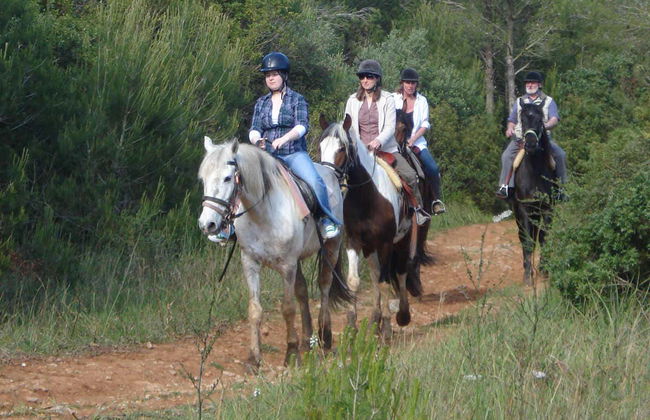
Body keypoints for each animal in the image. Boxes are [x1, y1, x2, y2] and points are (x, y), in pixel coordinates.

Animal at [197, 138, 353, 368]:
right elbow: (255, 309)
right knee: (302, 291)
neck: (262, 214)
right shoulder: (250, 262)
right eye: (203, 178)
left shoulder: (287, 266)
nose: (207, 224)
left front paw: (291, 354)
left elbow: (288, 309)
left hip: (331, 248)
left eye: (227, 178)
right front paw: (254, 358)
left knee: (324, 286)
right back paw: (307, 341)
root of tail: (329, 172)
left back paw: (325, 338)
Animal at [319, 115, 423, 340]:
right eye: (320, 146)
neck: (367, 197)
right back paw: (375, 320)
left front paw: (387, 330)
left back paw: (402, 316)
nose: (327, 177)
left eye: (342, 148)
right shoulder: (353, 241)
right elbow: (354, 281)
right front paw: (351, 328)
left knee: (400, 271)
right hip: (369, 247)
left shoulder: (385, 243)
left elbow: (385, 280)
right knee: (375, 274)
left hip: (401, 240)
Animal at [510, 101, 557, 285]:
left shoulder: (547, 209)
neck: (535, 171)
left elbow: (544, 238)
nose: (530, 144)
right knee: (523, 237)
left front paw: (544, 271)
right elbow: (528, 241)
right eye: (522, 119)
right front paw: (528, 278)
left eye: (540, 119)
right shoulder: (524, 210)